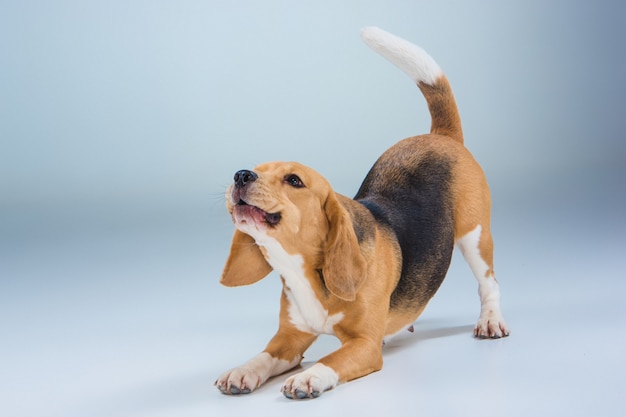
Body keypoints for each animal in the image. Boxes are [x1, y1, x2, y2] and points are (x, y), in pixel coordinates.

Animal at [214, 26, 508, 400]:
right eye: (255, 168)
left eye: (294, 180)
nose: (241, 175)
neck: (302, 270)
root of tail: (441, 137)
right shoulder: (289, 338)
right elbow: (263, 356)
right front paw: (242, 370)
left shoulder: (365, 344)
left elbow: (332, 360)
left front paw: (309, 378)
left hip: (475, 235)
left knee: (489, 282)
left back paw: (490, 320)